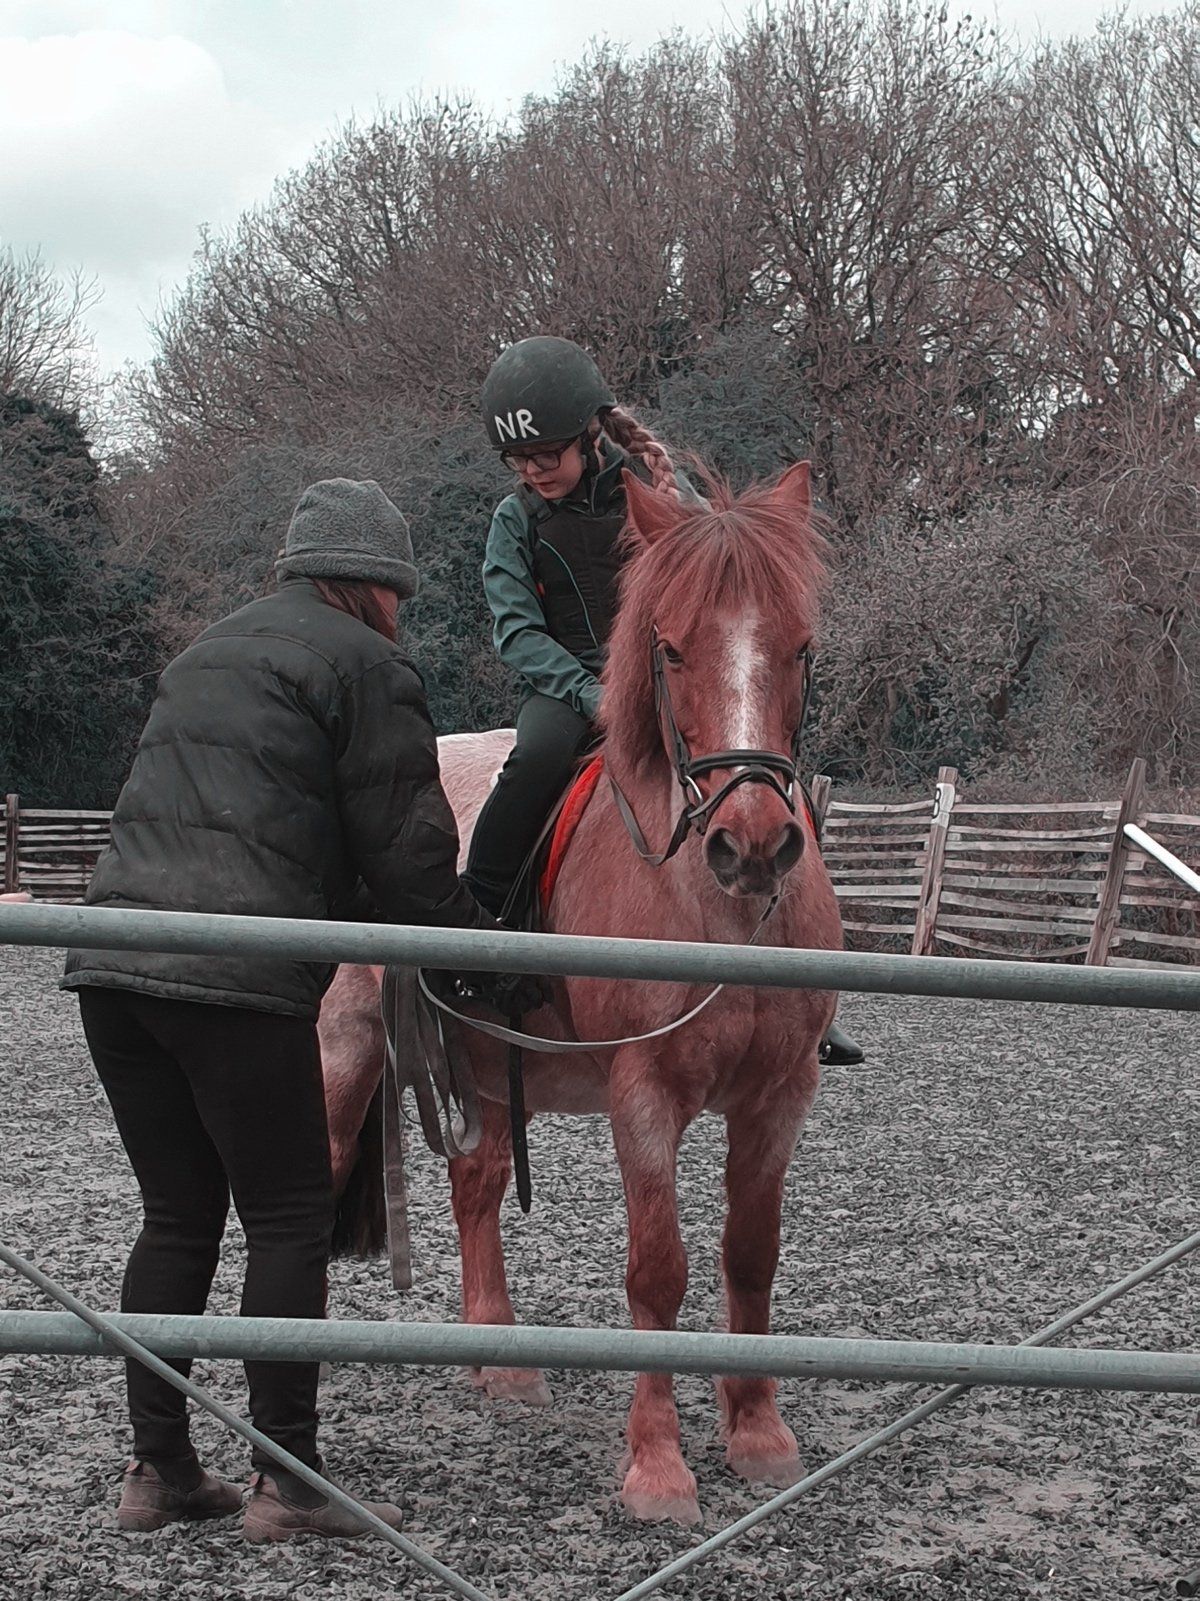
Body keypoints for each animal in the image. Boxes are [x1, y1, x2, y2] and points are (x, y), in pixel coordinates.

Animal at [320, 461, 843, 1525]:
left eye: (800, 647)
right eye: (672, 648)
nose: (753, 846)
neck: (720, 913)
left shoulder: (779, 1098)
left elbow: (751, 1254)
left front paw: (758, 1432)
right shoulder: (642, 1094)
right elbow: (658, 1272)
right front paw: (658, 1465)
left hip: (482, 1069)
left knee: (475, 1187)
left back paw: (501, 1356)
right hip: (349, 1051)